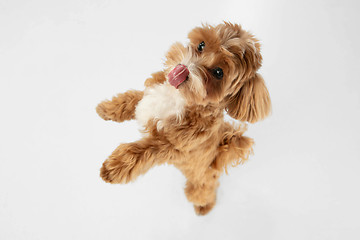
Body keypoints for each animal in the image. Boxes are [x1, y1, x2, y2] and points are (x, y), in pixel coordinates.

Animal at [95, 21, 270, 215]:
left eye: (218, 72)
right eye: (201, 45)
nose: (182, 69)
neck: (178, 97)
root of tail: (219, 156)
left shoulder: (170, 146)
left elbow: (140, 151)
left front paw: (115, 167)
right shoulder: (148, 95)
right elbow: (131, 99)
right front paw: (108, 108)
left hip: (201, 182)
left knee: (204, 191)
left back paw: (204, 206)